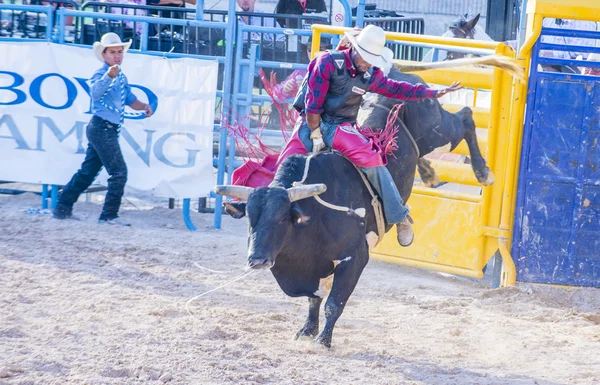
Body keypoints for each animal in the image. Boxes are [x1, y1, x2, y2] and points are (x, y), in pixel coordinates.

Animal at [214, 67, 492, 348]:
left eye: (282, 219)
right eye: (250, 218)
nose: (256, 259)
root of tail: (400, 73)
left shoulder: (354, 258)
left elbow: (334, 303)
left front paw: (324, 340)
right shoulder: (314, 266)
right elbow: (314, 299)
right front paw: (307, 329)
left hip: (436, 132)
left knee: (465, 118)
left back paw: (483, 172)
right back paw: (429, 174)